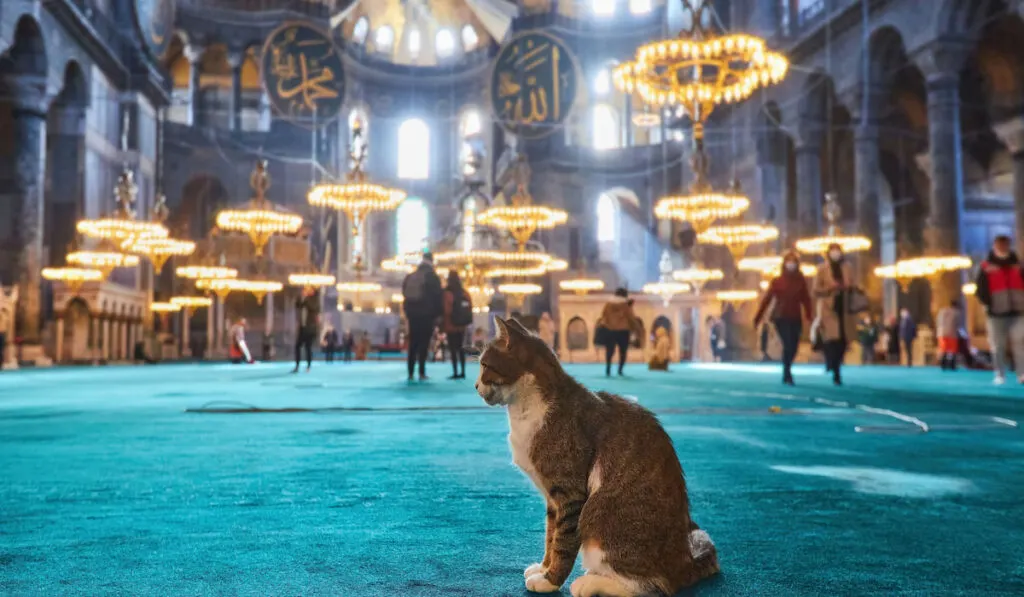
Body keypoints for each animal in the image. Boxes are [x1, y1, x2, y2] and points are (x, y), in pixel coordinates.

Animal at [473, 317, 720, 597]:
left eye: (484, 365)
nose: (475, 385)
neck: (527, 410)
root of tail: (685, 562)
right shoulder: (552, 499)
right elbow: (551, 536)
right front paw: (544, 568)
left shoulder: (570, 493)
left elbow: (563, 542)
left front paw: (550, 580)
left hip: (597, 514)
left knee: (655, 586)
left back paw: (589, 583)